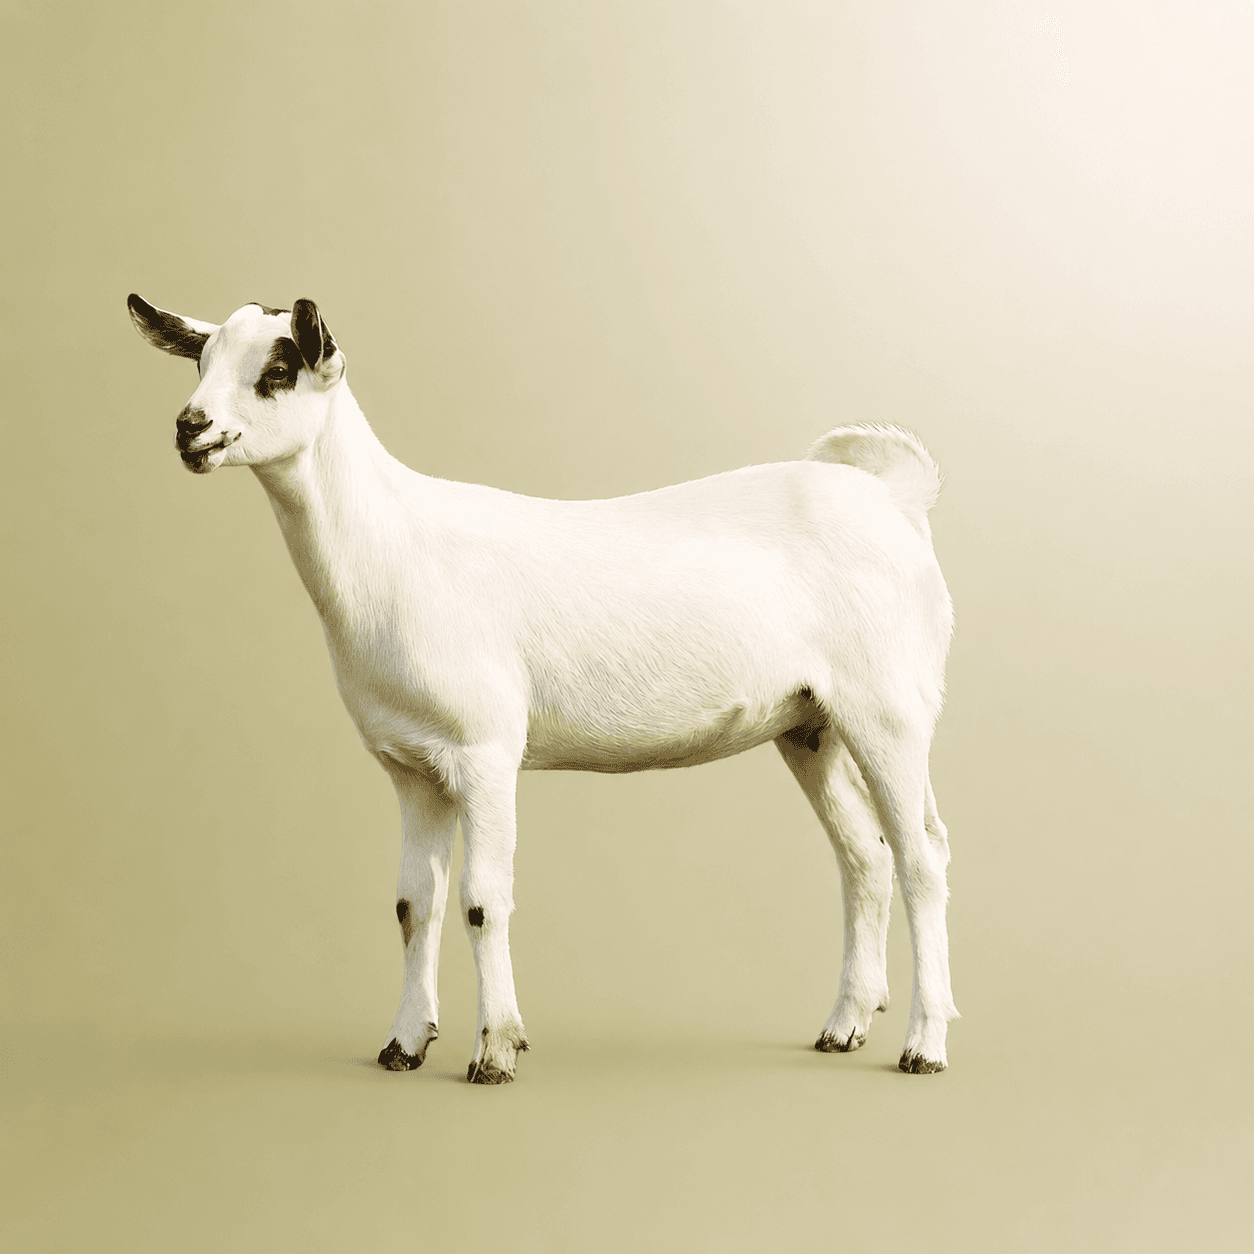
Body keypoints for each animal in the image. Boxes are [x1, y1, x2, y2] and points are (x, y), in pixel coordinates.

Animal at [127, 294, 959, 1082]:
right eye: (199, 360)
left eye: (276, 372)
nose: (190, 428)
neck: (396, 548)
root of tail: (892, 496)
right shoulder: (411, 765)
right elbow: (414, 904)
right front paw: (404, 1044)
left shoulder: (485, 750)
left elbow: (481, 902)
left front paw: (495, 1052)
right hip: (810, 723)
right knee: (866, 856)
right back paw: (845, 1025)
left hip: (889, 707)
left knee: (922, 859)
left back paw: (924, 1044)